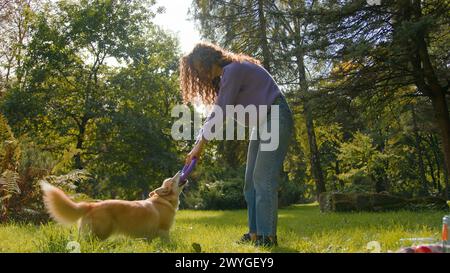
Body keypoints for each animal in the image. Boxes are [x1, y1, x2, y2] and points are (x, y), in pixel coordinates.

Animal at [40, 171, 185, 239]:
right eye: (173, 179)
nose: (180, 171)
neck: (165, 200)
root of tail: (90, 206)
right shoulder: (163, 231)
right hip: (99, 233)